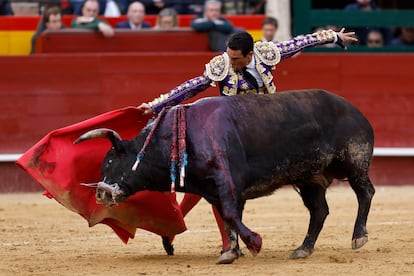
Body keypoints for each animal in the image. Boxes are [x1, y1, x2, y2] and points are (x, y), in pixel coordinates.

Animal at [74, 89, 376, 264]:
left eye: (111, 160)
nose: (101, 192)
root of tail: (354, 108)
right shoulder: (213, 190)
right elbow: (227, 217)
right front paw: (231, 251)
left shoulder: (227, 181)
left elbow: (231, 214)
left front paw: (254, 243)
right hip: (310, 178)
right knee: (319, 210)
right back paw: (303, 248)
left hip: (354, 161)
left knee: (365, 193)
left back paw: (358, 237)